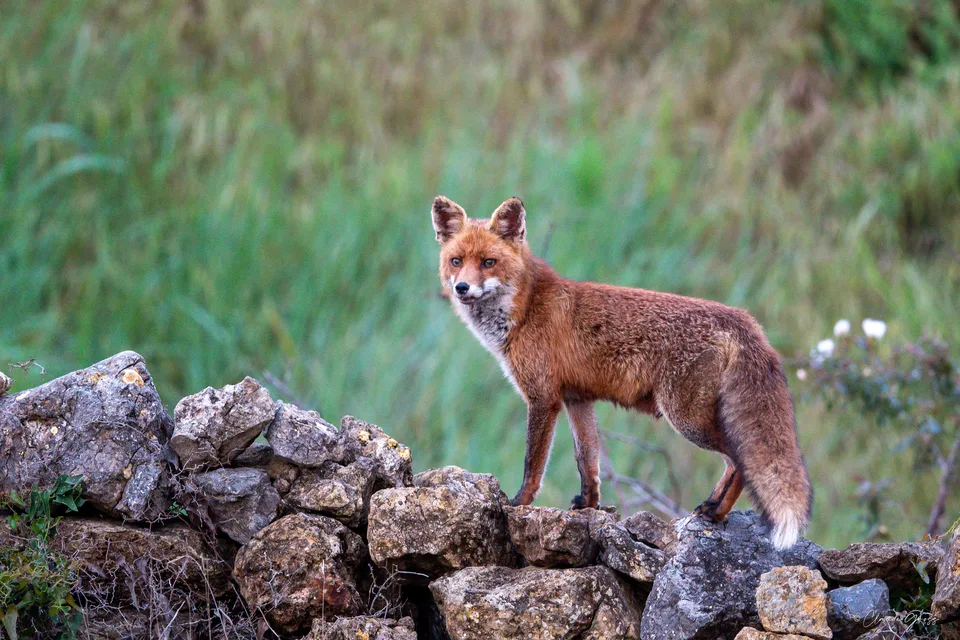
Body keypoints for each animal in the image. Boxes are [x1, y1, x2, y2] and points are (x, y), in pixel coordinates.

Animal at [430, 195, 813, 549]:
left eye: (488, 262)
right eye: (456, 261)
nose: (461, 288)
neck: (524, 310)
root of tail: (743, 318)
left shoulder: (543, 399)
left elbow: (533, 465)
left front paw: (517, 503)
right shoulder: (577, 400)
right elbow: (587, 460)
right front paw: (589, 506)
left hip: (685, 418)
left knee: (738, 461)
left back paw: (716, 512)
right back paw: (711, 508)